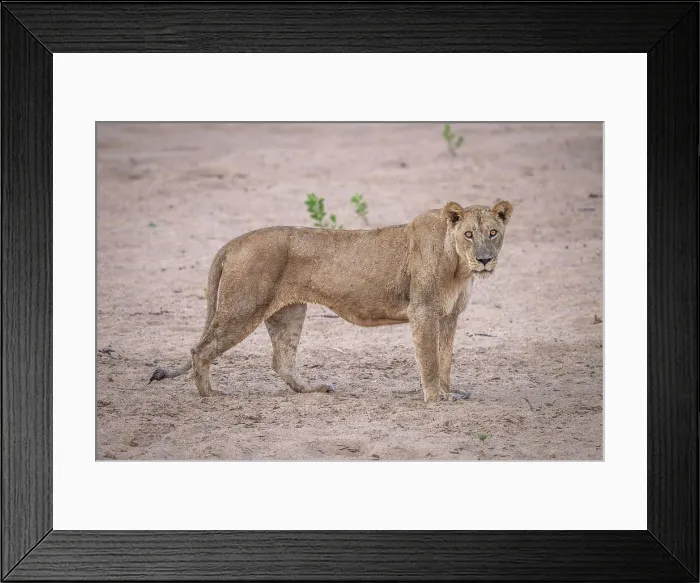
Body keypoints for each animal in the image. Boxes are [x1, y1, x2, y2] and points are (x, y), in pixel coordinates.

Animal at [149, 200, 513, 403]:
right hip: (242, 308)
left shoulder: (450, 315)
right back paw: (210, 396)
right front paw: (435, 398)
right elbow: (430, 360)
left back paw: (314, 389)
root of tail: (235, 241)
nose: (484, 260)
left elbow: (446, 357)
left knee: (281, 362)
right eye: (469, 234)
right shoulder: (423, 311)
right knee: (201, 350)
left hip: (289, 313)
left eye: (493, 233)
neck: (458, 267)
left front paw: (450, 392)